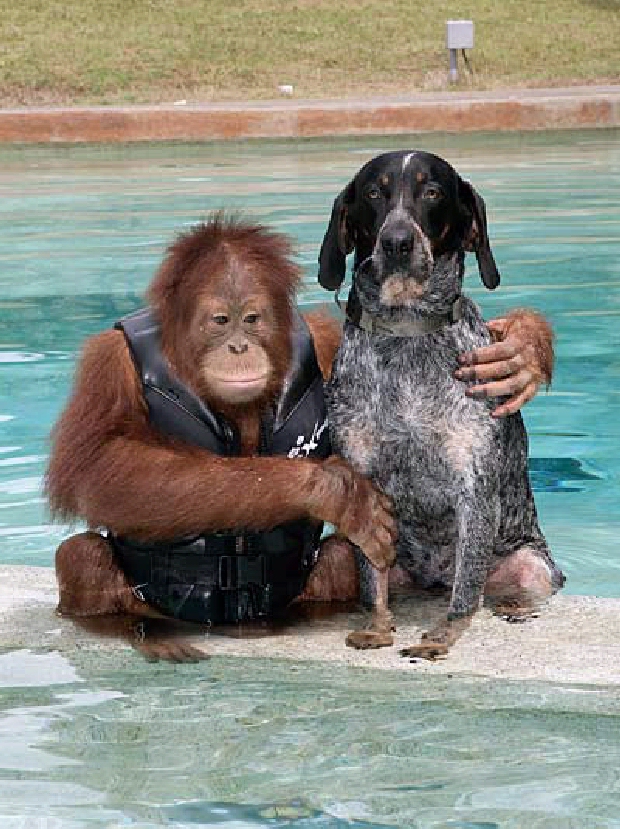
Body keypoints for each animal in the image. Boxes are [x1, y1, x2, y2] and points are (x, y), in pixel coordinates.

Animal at [318, 150, 564, 660]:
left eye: (431, 191)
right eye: (374, 193)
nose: (396, 242)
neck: (407, 331)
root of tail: (431, 581)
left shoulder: (474, 485)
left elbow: (466, 590)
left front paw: (444, 634)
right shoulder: (363, 484)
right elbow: (373, 583)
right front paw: (378, 626)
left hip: (530, 566)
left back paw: (512, 609)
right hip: (339, 552)